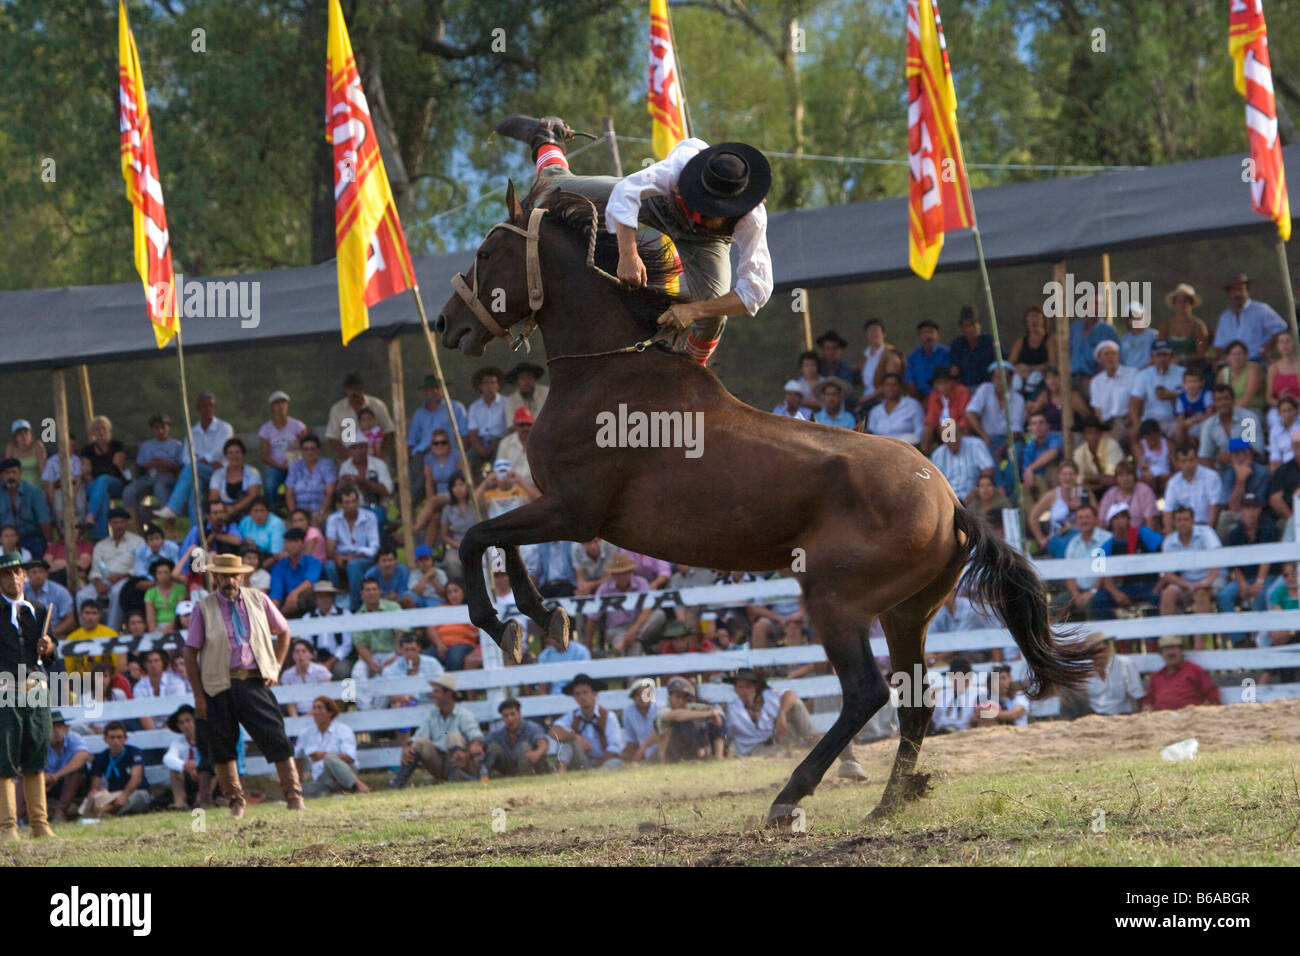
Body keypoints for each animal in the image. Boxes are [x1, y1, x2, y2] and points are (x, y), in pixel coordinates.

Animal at [434, 180, 1097, 822]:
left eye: (487, 253)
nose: (446, 324)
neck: (608, 372)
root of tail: (951, 504)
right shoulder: (557, 509)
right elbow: (496, 539)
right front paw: (541, 617)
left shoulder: (574, 513)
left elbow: (476, 537)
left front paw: (505, 621)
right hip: (906, 613)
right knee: (914, 701)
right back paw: (888, 804)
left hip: (834, 600)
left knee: (867, 692)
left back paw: (791, 795)